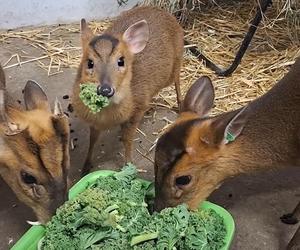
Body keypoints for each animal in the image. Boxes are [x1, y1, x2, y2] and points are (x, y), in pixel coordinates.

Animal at [72, 5, 184, 175]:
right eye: (89, 62)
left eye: (121, 61)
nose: (105, 89)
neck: (109, 116)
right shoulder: (93, 120)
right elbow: (93, 139)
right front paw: (86, 166)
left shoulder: (135, 112)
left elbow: (128, 139)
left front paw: (128, 165)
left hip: (175, 63)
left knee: (177, 78)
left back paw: (180, 105)